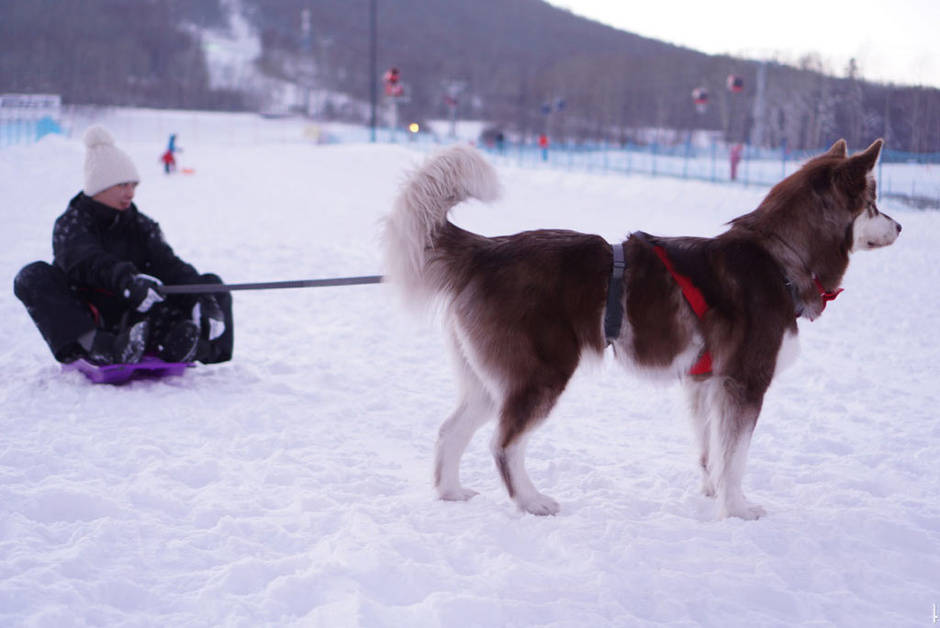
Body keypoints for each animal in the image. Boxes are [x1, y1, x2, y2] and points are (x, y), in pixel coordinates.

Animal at [384, 141, 904, 520]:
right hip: (541, 376)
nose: (900, 226)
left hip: (489, 383)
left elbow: (712, 453)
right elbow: (735, 458)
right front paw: (737, 508)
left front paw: (712, 493)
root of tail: (488, 249)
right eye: (874, 203)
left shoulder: (705, 385)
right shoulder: (745, 384)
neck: (779, 256)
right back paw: (531, 501)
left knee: (449, 432)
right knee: (504, 444)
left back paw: (451, 493)